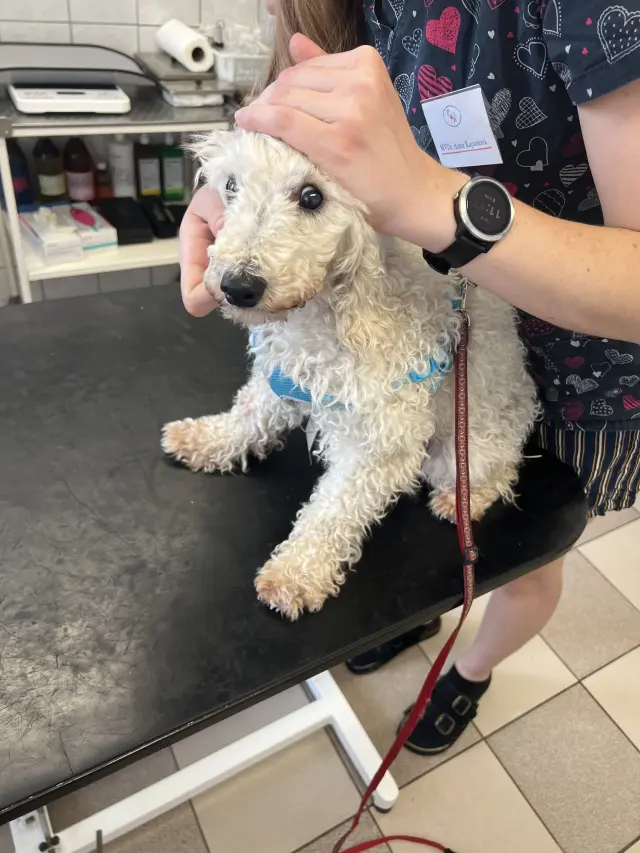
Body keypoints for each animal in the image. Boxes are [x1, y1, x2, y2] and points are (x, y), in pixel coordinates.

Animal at [162, 129, 538, 620]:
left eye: (311, 196)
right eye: (230, 185)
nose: (237, 287)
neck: (331, 308)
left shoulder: (382, 442)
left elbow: (334, 511)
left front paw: (295, 574)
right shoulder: (282, 378)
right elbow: (249, 415)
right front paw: (207, 440)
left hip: (463, 450)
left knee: (501, 470)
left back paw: (463, 499)